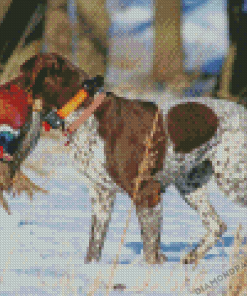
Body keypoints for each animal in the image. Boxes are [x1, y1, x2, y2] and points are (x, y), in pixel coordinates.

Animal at [2, 52, 247, 264]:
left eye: (23, 72)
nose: (3, 86)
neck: (85, 112)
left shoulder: (146, 193)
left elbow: (150, 249)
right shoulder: (101, 195)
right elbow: (94, 246)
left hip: (232, 181)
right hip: (190, 184)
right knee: (217, 225)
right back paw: (192, 258)